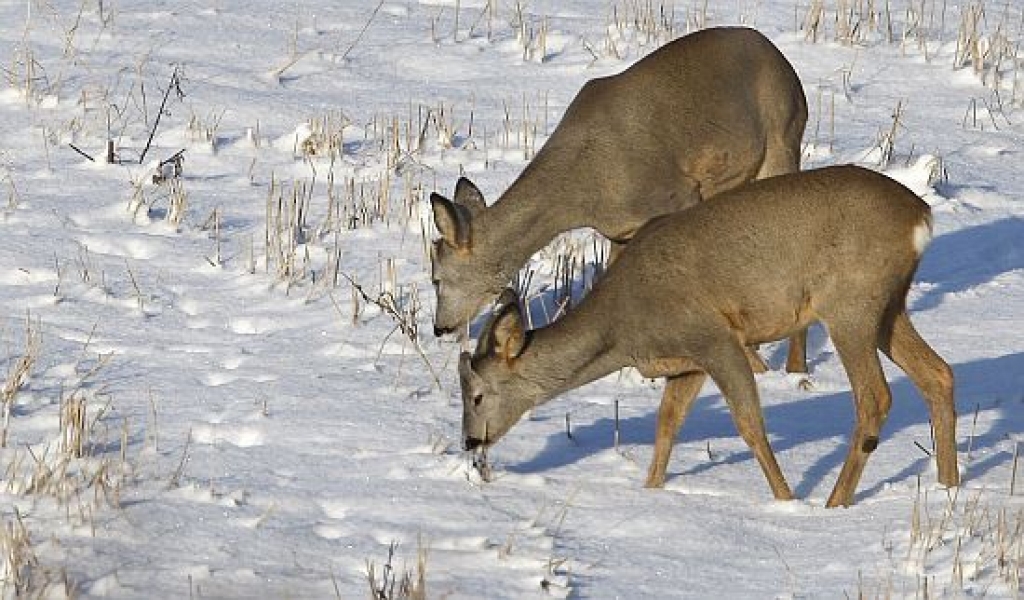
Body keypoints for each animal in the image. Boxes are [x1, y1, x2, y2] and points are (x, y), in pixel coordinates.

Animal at [428, 28, 811, 372]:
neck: (581, 192)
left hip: (783, 137)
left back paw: (797, 370)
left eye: (437, 278)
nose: (439, 327)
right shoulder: (619, 231)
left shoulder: (677, 194)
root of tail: (781, 58)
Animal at [460, 163, 962, 503]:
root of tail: (920, 216)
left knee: (875, 397)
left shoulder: (714, 337)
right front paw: (651, 490)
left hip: (849, 304)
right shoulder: (687, 364)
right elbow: (667, 425)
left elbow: (749, 424)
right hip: (887, 306)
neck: (624, 327)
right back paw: (948, 487)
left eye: (477, 395)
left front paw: (786, 501)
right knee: (939, 373)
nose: (470, 441)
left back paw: (833, 503)